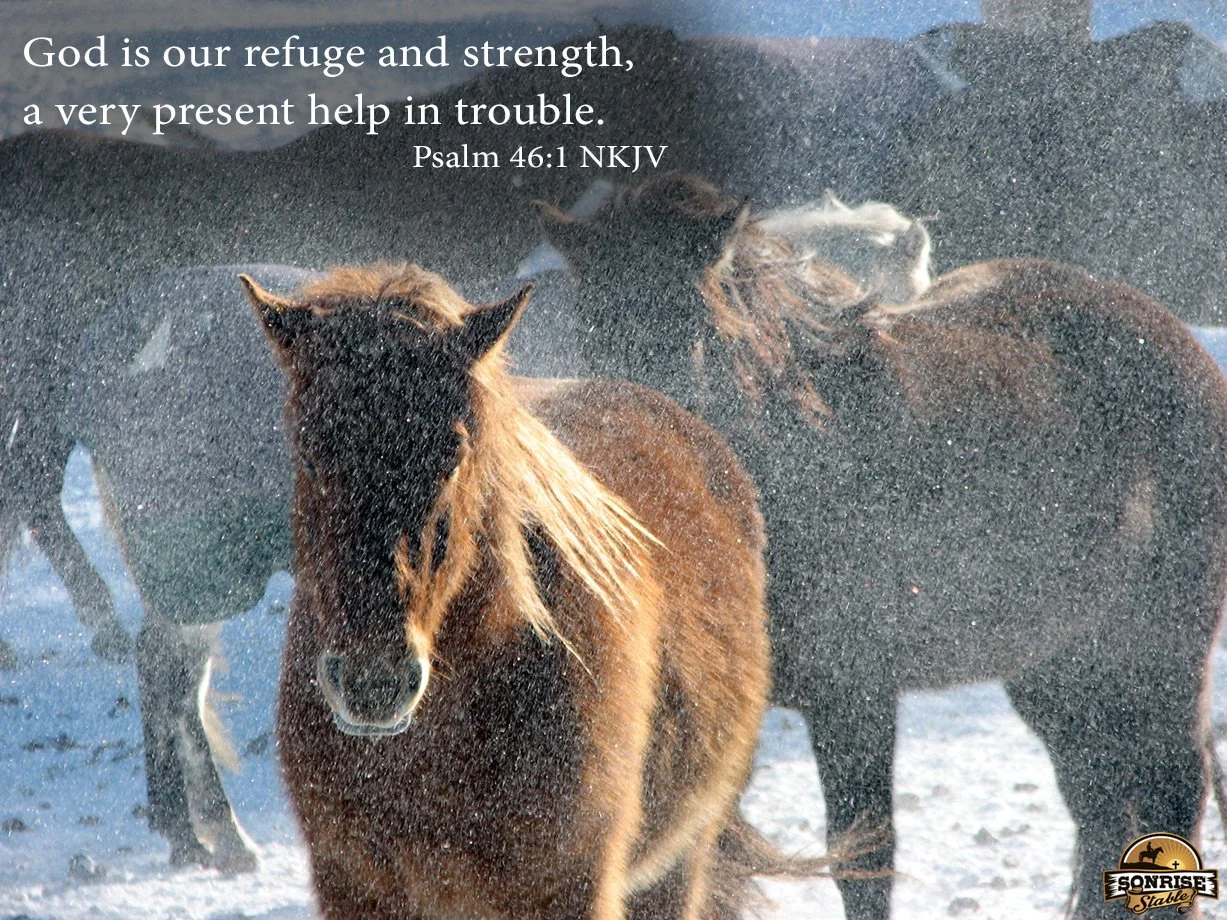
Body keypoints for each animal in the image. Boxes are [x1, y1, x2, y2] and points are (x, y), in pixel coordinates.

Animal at [534, 173, 1227, 919]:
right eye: (592, 325)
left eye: (692, 329)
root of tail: (1178, 342)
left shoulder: (853, 693)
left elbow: (863, 855)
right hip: (1060, 665)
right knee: (1098, 800)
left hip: (1161, 650)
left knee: (1169, 789)